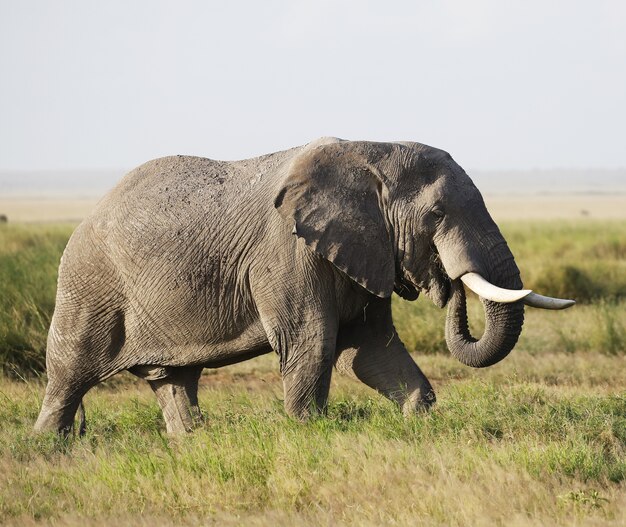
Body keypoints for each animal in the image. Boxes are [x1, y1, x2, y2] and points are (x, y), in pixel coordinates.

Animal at [34, 137, 572, 434]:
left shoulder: (362, 248)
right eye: (437, 215)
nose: (449, 283)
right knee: (67, 373)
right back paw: (47, 447)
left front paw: (419, 422)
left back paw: (191, 443)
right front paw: (307, 431)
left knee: (174, 381)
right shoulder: (287, 252)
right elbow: (312, 342)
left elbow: (371, 351)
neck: (371, 152)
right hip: (89, 284)